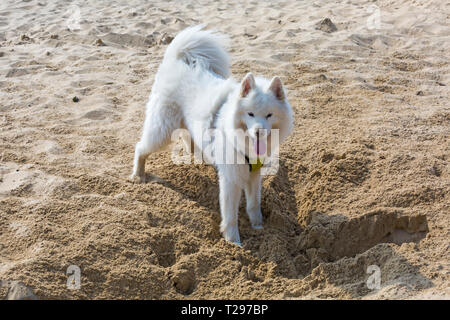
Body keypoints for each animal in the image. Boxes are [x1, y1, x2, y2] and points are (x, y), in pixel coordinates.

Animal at [130, 25, 294, 245]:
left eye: (269, 115)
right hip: (162, 130)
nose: (259, 132)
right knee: (141, 147)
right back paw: (138, 175)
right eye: (250, 114)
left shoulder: (253, 175)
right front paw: (233, 241)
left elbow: (253, 204)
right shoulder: (231, 179)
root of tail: (176, 59)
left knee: (189, 141)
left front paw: (258, 226)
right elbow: (231, 214)